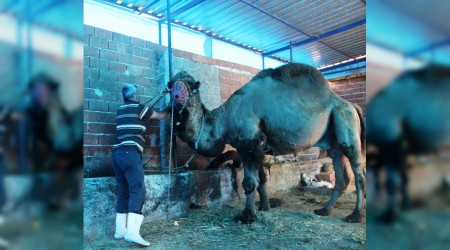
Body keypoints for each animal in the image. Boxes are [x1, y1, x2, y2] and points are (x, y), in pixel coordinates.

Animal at [169, 63, 366, 223]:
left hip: (346, 122)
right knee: (342, 176)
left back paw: (355, 216)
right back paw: (324, 210)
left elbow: (249, 182)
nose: (176, 94)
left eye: (189, 84)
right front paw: (265, 207)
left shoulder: (248, 141)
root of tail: (351, 104)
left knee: (359, 173)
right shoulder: (259, 145)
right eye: (171, 83)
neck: (223, 118)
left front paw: (247, 216)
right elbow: (262, 179)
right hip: (334, 142)